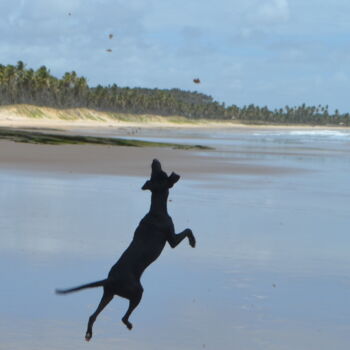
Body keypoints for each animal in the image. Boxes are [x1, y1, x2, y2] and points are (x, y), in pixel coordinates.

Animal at [56, 160, 196, 340]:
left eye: (156, 171)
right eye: (160, 173)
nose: (154, 159)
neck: (156, 210)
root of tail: (109, 280)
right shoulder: (171, 239)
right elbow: (187, 230)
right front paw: (193, 242)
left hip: (108, 294)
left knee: (93, 315)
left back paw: (89, 333)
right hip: (136, 292)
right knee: (123, 317)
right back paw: (128, 325)